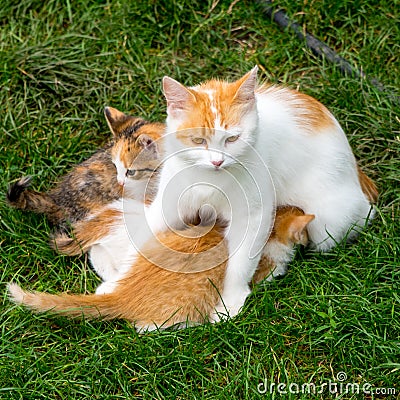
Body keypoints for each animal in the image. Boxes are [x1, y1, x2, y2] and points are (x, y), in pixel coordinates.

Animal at [136, 67, 376, 320]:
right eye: (198, 140)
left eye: (232, 138)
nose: (217, 162)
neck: (211, 179)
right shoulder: (171, 200)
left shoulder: (253, 215)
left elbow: (241, 261)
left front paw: (231, 301)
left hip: (329, 222)